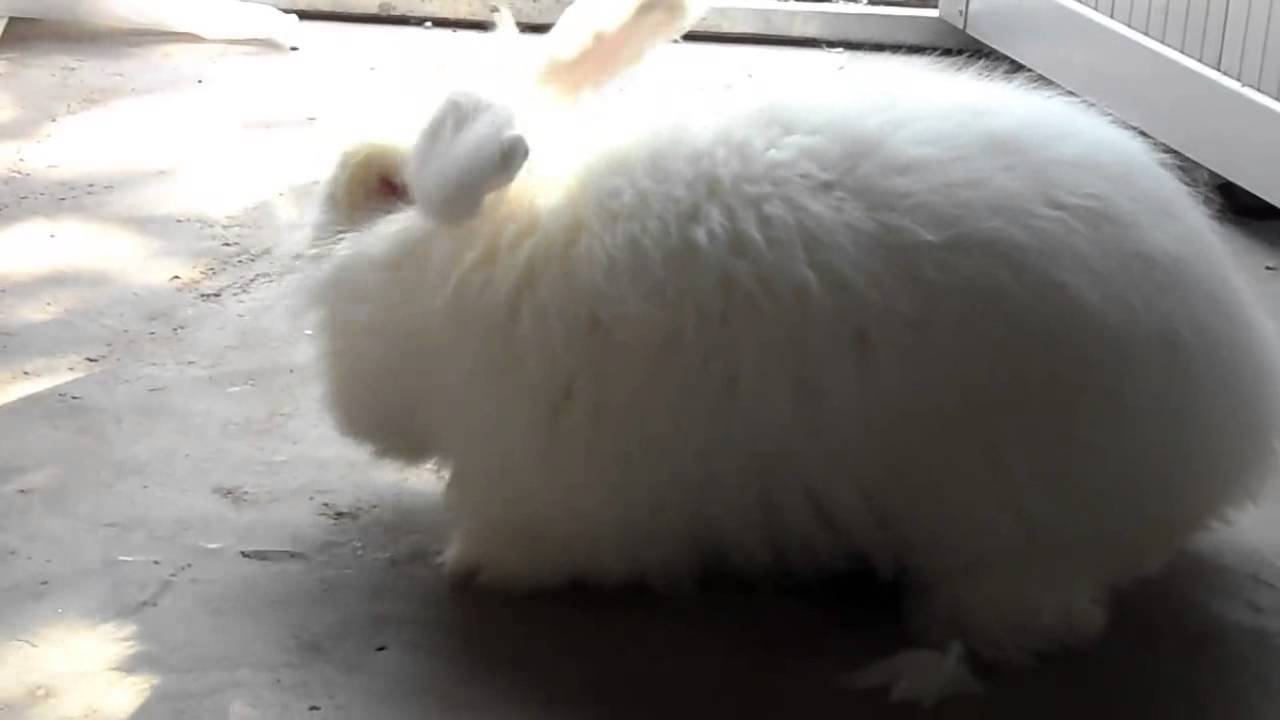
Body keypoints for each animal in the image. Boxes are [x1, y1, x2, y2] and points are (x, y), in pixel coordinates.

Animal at [308, 28, 1280, 668]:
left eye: (377, 196)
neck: (496, 253)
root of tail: (1233, 413)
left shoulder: (559, 484)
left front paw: (473, 567)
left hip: (1023, 519)